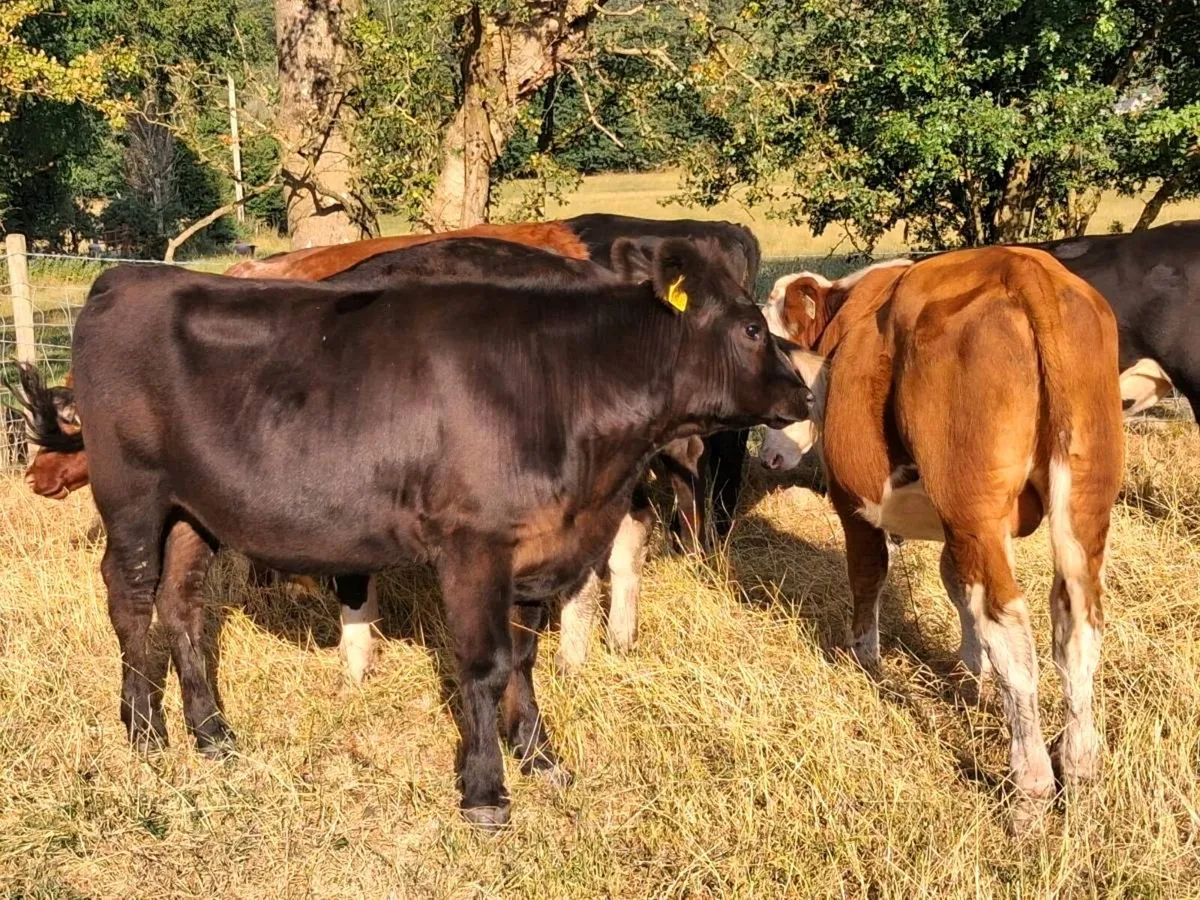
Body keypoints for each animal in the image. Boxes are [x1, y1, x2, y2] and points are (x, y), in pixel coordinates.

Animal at [65, 236, 809, 828]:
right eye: (750, 328)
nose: (804, 393)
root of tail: (125, 279)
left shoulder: (534, 547)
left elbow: (524, 659)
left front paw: (539, 756)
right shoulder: (473, 544)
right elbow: (484, 665)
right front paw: (485, 791)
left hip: (196, 511)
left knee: (183, 606)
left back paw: (214, 733)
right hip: (132, 495)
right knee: (130, 600)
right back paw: (145, 732)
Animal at [761, 248, 1123, 832]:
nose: (768, 457)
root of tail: (1025, 269)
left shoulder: (853, 500)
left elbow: (868, 576)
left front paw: (865, 662)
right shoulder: (966, 533)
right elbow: (955, 586)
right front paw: (972, 676)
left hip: (972, 506)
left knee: (1011, 629)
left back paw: (1030, 790)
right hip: (1081, 501)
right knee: (1077, 627)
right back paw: (1081, 772)